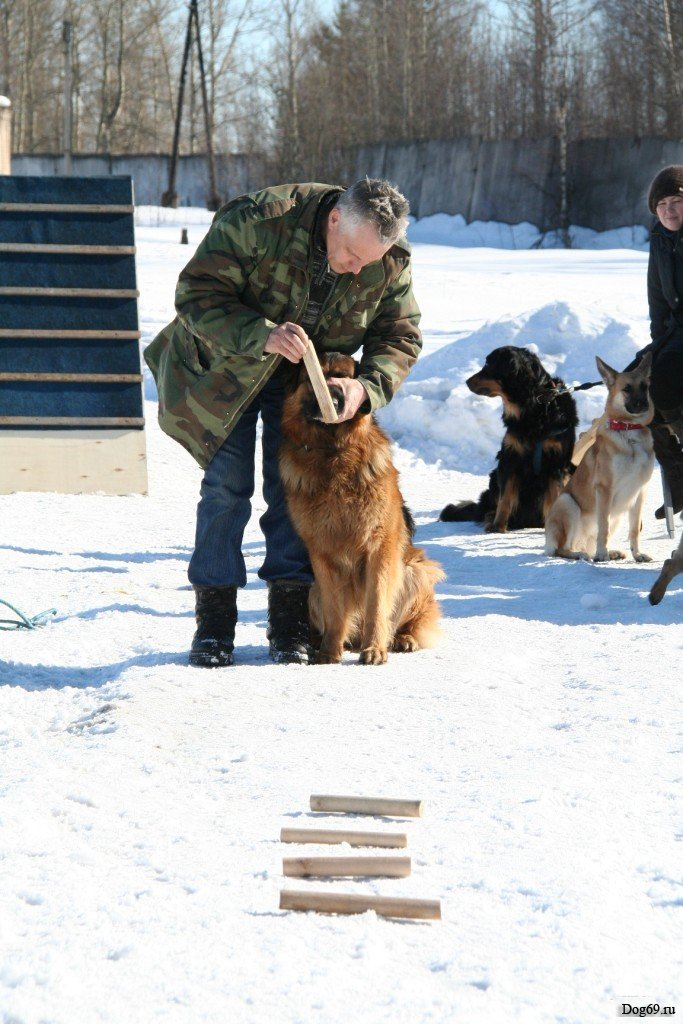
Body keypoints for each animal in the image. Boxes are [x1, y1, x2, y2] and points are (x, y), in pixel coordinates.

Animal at [278, 352, 444, 663]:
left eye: (343, 378)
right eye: (314, 377)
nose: (331, 399)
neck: (333, 454)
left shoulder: (379, 548)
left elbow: (376, 603)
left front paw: (375, 648)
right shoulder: (321, 552)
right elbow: (334, 608)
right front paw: (329, 650)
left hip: (415, 570)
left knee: (411, 619)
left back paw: (403, 638)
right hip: (311, 587)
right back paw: (316, 642)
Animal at [440, 346, 581, 532]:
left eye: (489, 364)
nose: (467, 381)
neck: (534, 406)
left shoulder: (556, 463)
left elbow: (553, 498)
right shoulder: (510, 458)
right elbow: (505, 498)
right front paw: (498, 526)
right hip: (494, 477)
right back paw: (491, 517)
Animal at [544, 352, 655, 561]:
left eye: (645, 387)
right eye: (627, 389)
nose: (644, 405)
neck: (629, 432)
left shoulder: (640, 492)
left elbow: (634, 530)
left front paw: (637, 555)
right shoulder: (605, 489)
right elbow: (603, 526)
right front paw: (602, 554)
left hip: (617, 517)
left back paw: (609, 552)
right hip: (568, 503)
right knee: (562, 549)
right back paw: (581, 554)